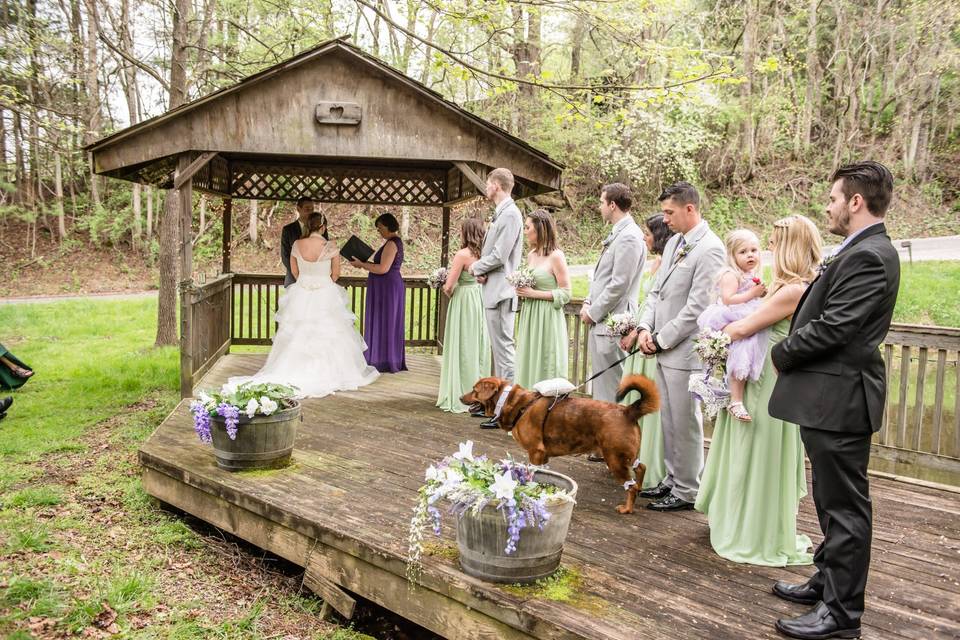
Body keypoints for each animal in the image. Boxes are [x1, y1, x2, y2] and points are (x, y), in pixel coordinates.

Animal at [460, 376, 660, 516]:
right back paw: (640, 488)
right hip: (626, 455)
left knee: (630, 485)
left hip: (614, 459)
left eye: (474, 390)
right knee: (641, 467)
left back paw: (627, 508)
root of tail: (627, 411)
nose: (461, 397)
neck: (514, 402)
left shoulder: (536, 452)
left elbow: (534, 476)